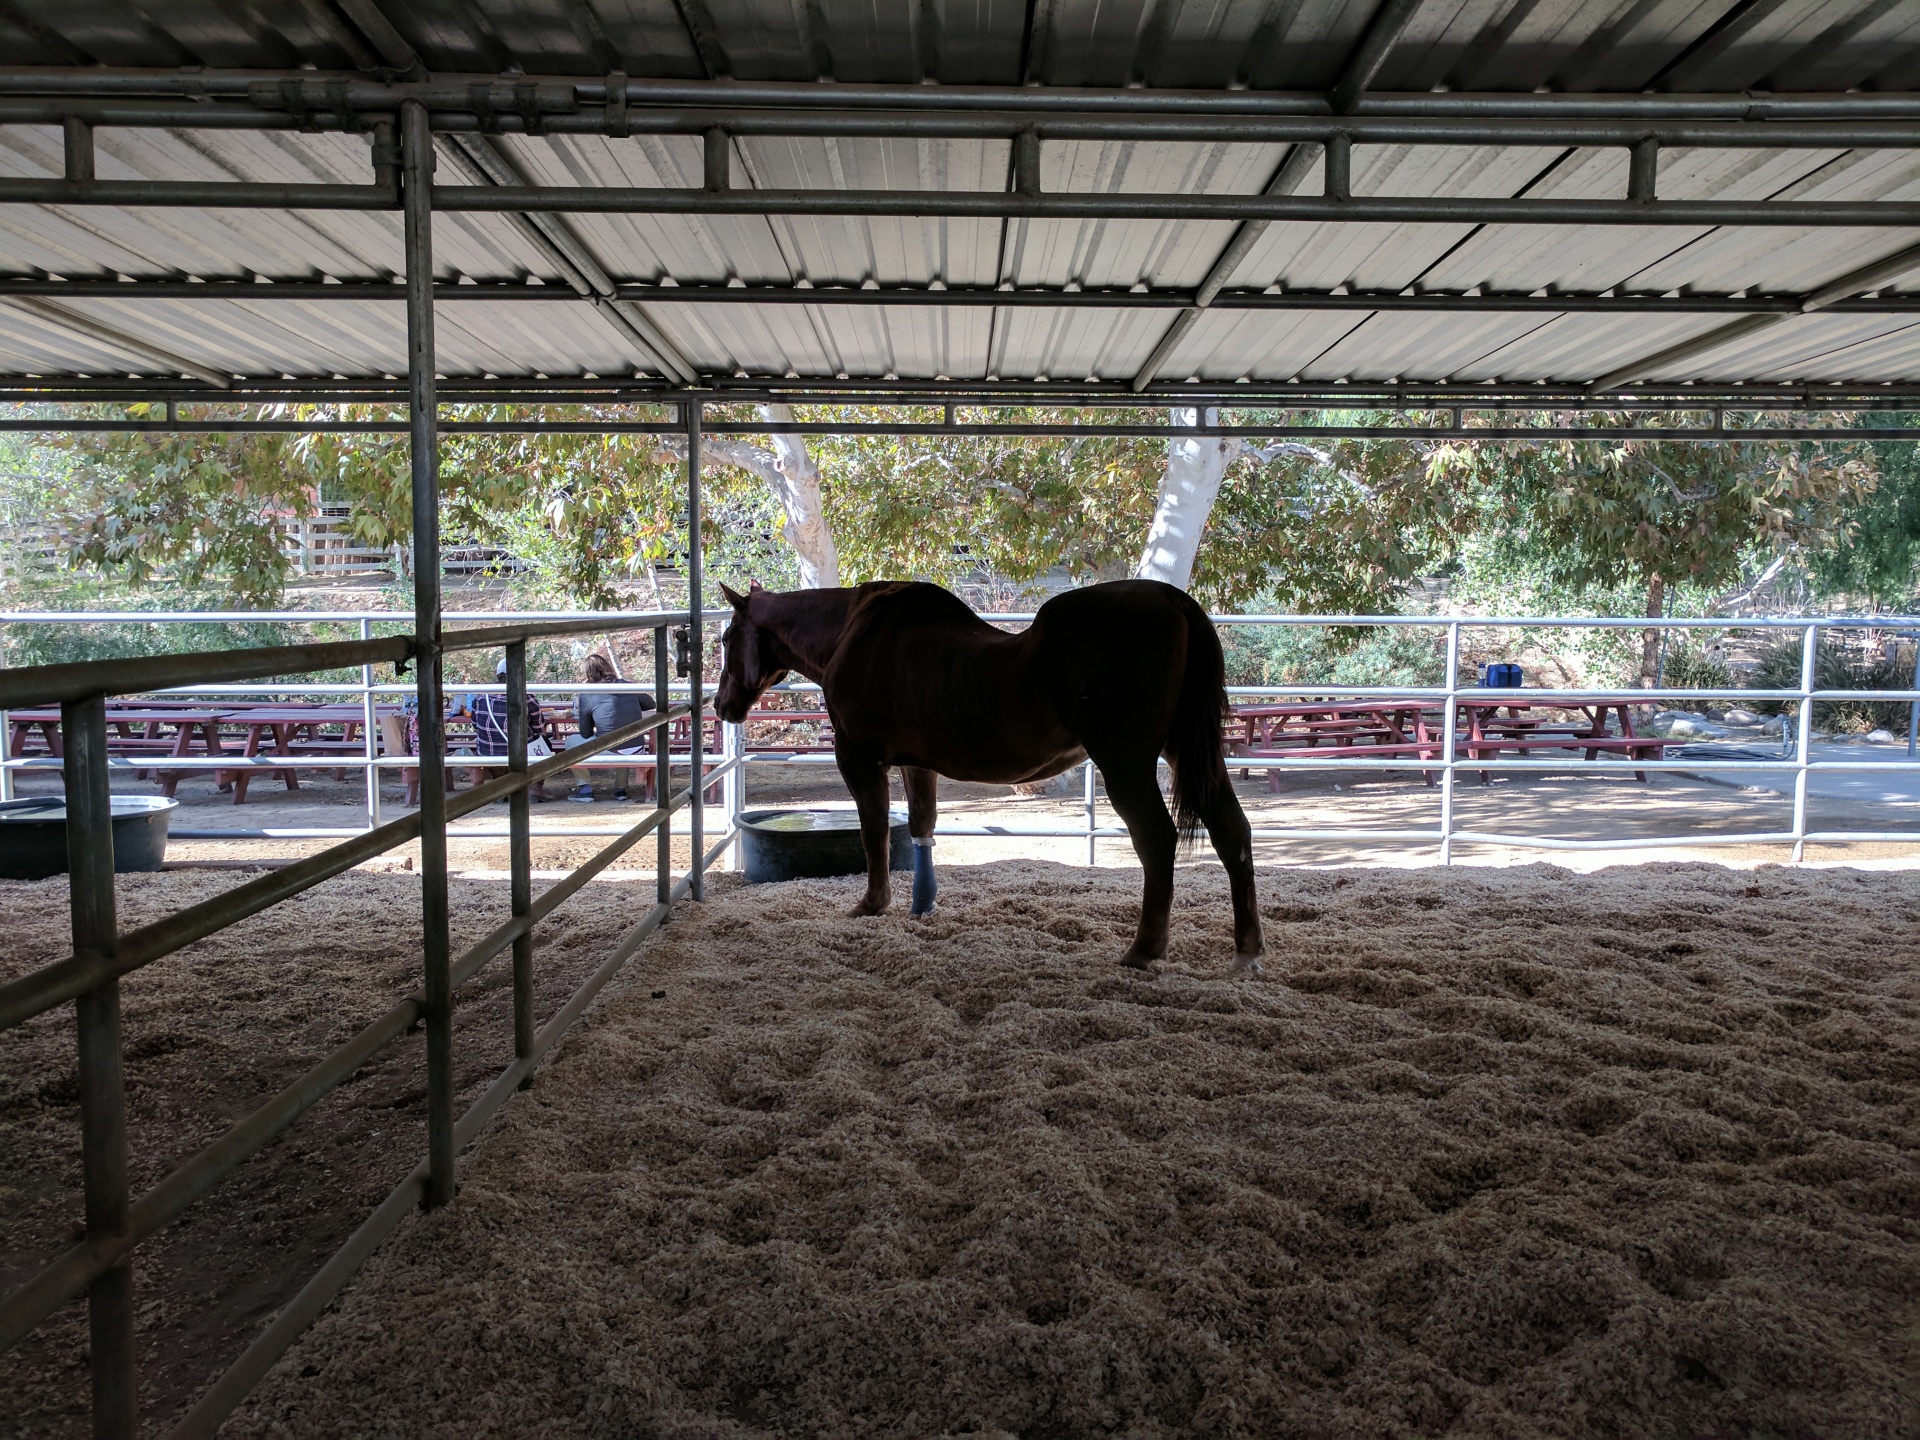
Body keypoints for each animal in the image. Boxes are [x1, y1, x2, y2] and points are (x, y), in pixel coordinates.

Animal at [714, 579, 1267, 983]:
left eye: (725, 638)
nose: (722, 706)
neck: (852, 632)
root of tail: (1172, 600)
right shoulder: (918, 763)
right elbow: (921, 828)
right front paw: (922, 905)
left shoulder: (860, 759)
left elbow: (874, 835)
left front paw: (872, 905)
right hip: (1189, 754)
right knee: (1232, 832)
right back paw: (1247, 951)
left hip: (1125, 763)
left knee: (1157, 840)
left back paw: (1143, 950)